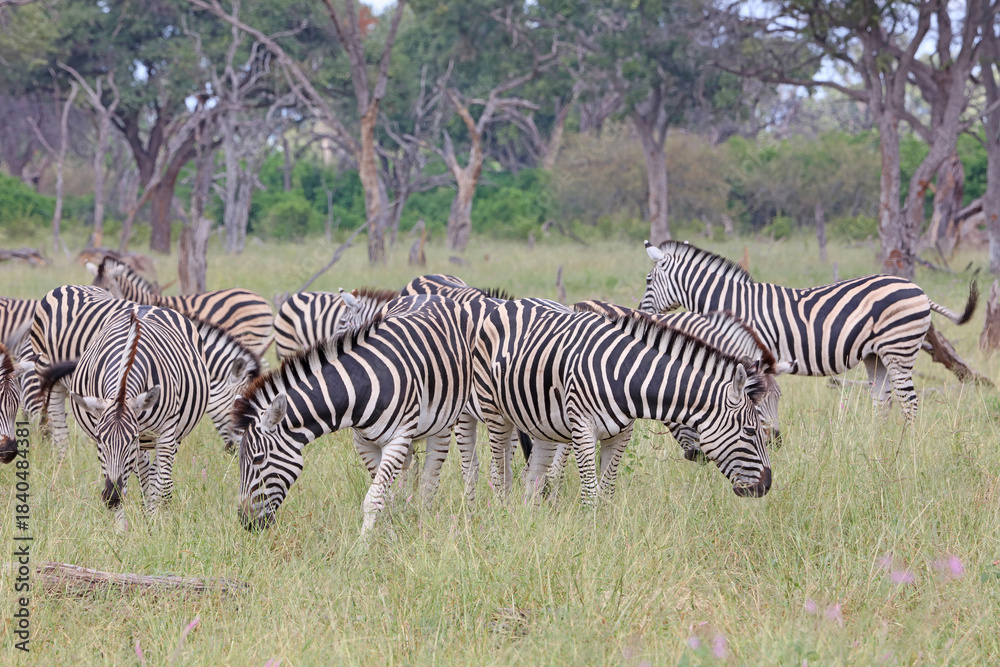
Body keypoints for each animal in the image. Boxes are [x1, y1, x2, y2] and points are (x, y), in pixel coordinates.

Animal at [38, 306, 210, 528]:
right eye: (100, 440)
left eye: (131, 439)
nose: (111, 498)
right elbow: (130, 481)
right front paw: (121, 530)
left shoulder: (165, 430)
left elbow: (164, 486)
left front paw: (162, 527)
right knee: (144, 474)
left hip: (174, 434)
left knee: (157, 473)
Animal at [233, 294, 480, 536]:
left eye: (258, 459)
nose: (247, 523)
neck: (359, 388)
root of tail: (429, 295)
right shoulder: (364, 442)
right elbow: (385, 496)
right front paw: (392, 534)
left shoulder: (397, 438)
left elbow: (373, 498)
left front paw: (363, 545)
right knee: (410, 473)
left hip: (443, 423)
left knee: (431, 477)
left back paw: (424, 520)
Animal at [469, 298, 772, 505]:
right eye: (750, 431)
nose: (766, 486)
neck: (625, 378)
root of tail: (511, 302)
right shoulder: (583, 430)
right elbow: (591, 495)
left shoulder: (622, 434)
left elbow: (607, 491)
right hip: (495, 413)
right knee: (500, 473)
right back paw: (504, 514)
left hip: (542, 424)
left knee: (534, 475)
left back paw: (531, 519)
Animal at [640, 240, 978, 421]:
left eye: (648, 280)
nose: (643, 313)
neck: (732, 305)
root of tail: (919, 290)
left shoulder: (749, 353)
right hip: (877, 356)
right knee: (883, 402)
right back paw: (880, 446)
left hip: (900, 349)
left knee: (909, 402)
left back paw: (906, 451)